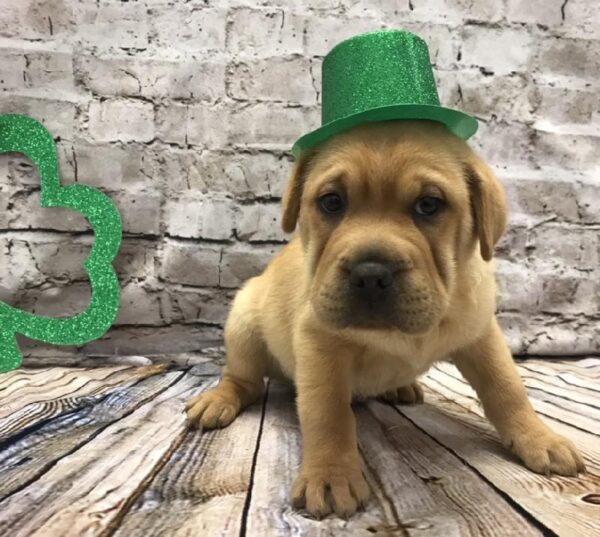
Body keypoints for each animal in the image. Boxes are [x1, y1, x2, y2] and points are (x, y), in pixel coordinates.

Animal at [185, 119, 584, 516]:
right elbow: (327, 412)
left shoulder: (480, 334)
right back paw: (218, 399)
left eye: (429, 205)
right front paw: (330, 474)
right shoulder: (320, 346)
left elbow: (507, 388)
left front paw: (539, 438)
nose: (370, 274)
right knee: (244, 379)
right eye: (332, 202)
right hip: (244, 323)